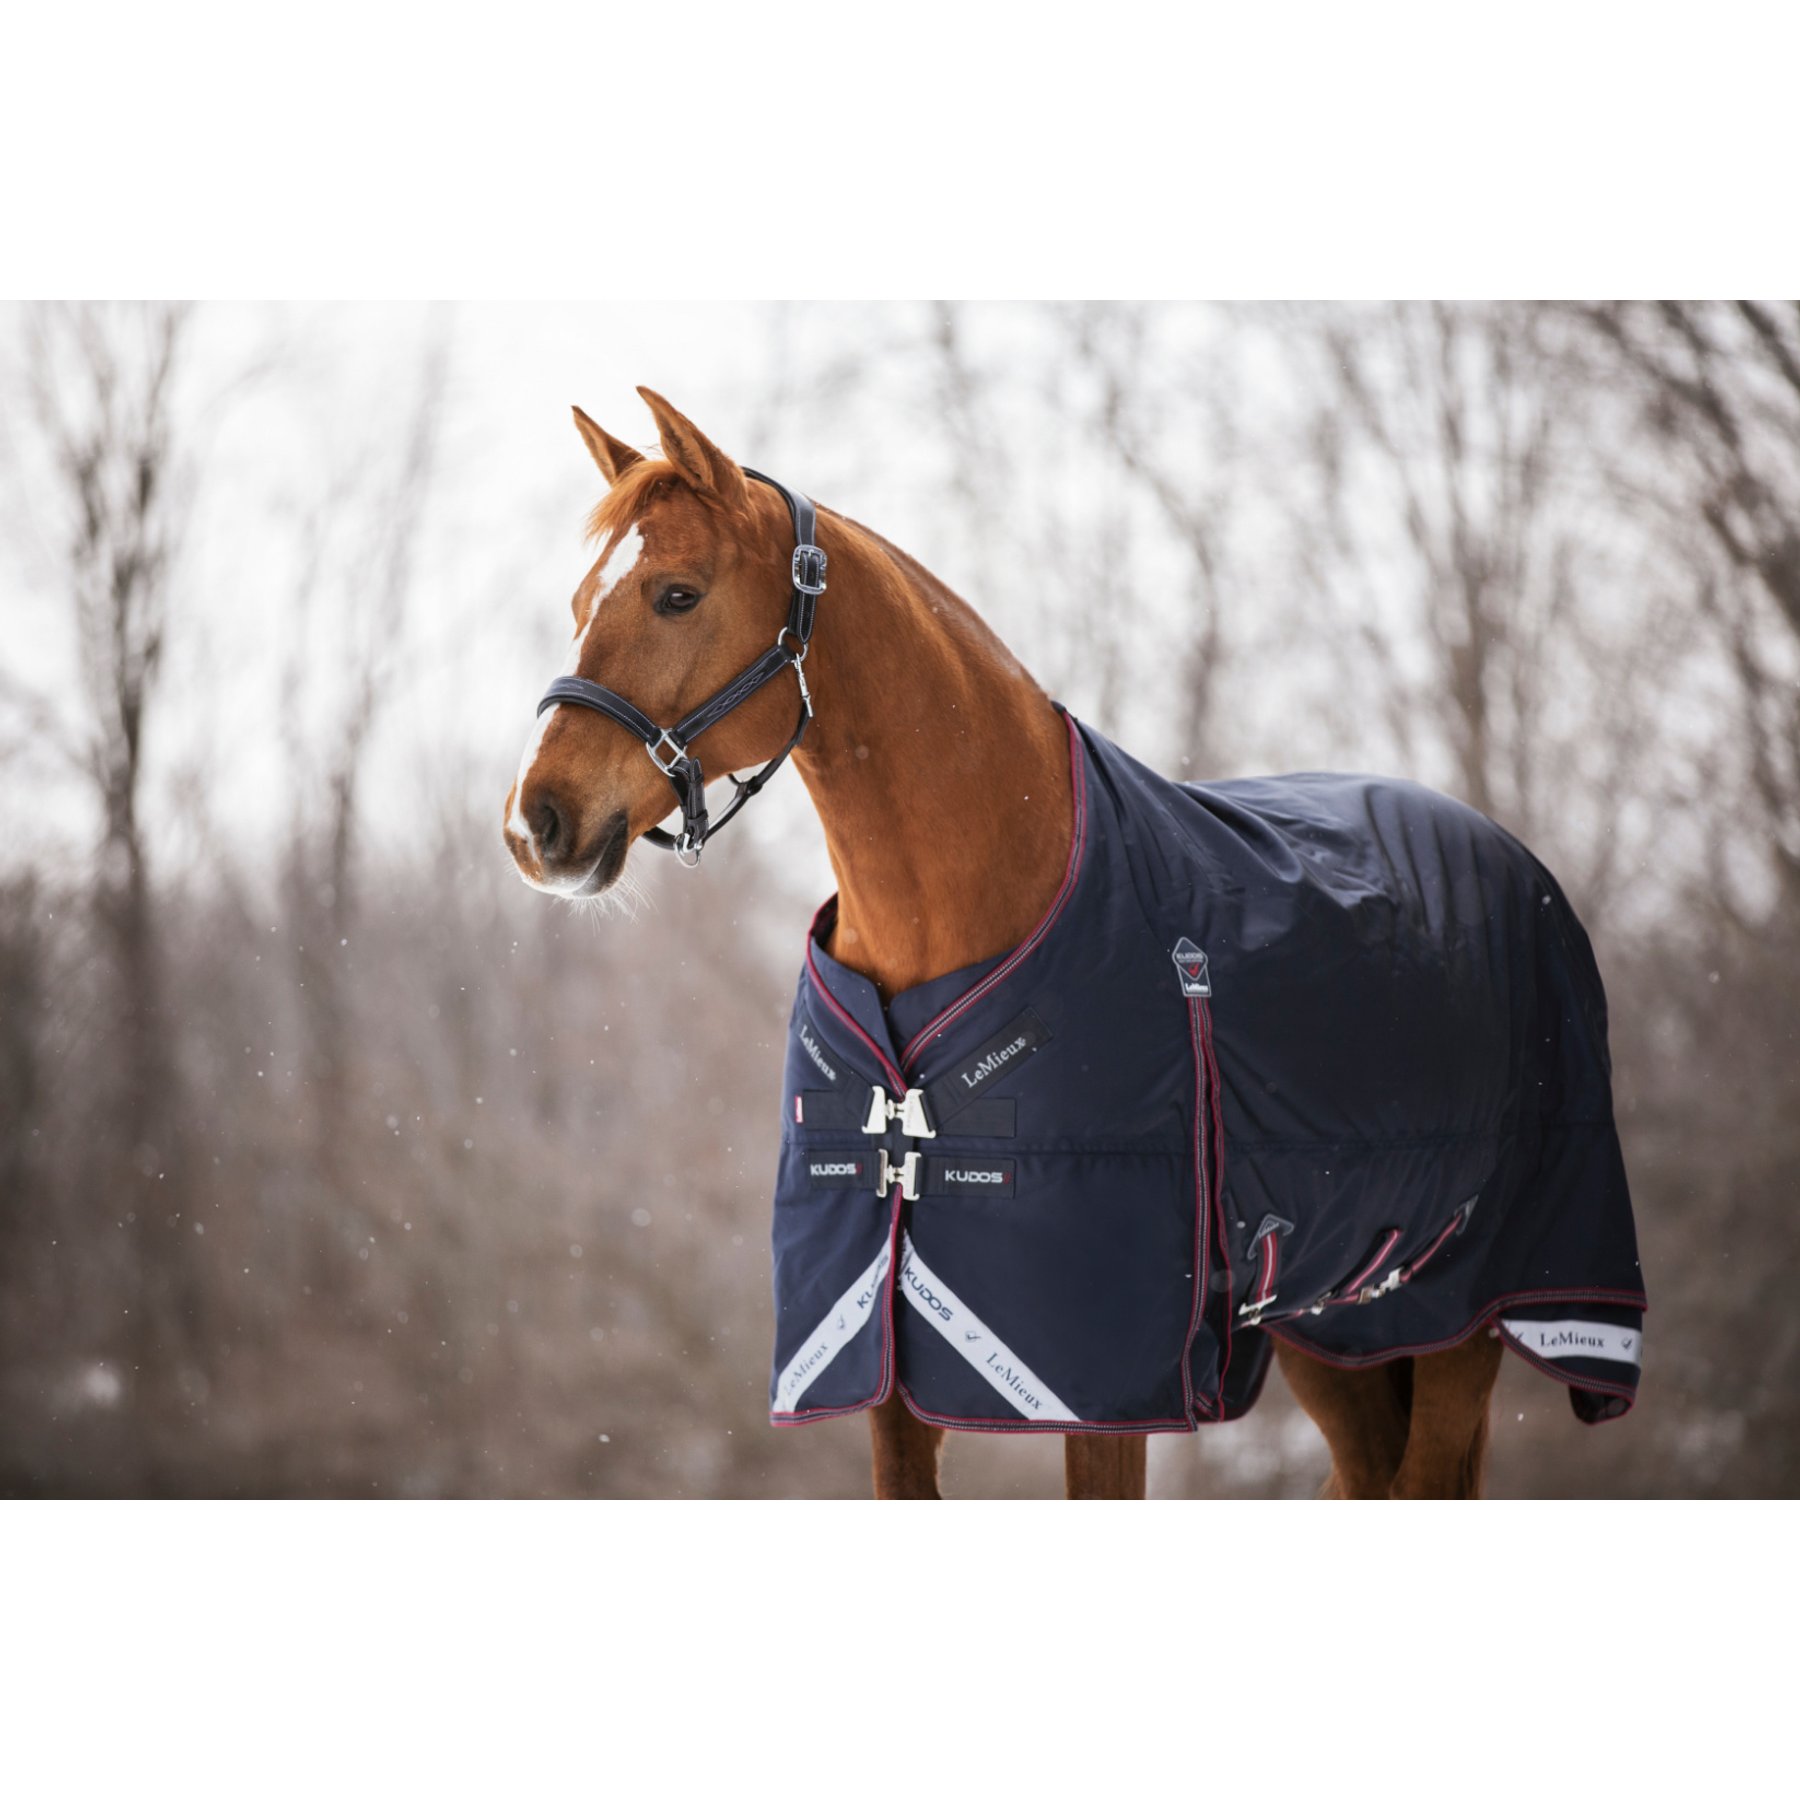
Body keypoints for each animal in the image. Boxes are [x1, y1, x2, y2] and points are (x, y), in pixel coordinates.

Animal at [504, 388, 1644, 1499]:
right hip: (1337, 1322)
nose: (535, 823)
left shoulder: (1105, 1389)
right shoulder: (880, 1367)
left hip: (1470, 1313)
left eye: (678, 595)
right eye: (580, 604)